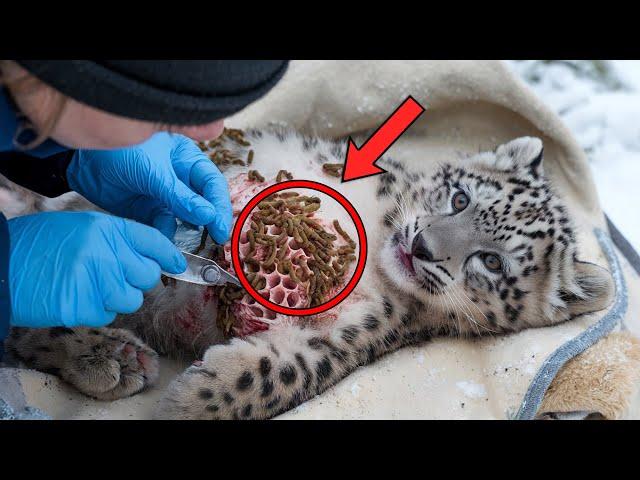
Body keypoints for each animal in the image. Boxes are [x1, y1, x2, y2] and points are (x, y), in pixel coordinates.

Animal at [0, 131, 612, 420]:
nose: (422, 246)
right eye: (460, 198)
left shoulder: (363, 331)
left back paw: (109, 353)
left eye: (492, 262)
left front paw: (192, 401)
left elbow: (290, 370)